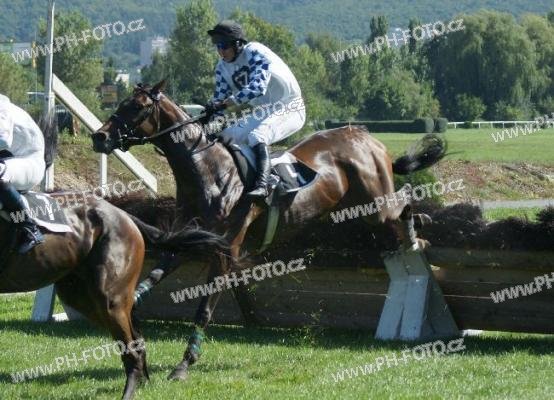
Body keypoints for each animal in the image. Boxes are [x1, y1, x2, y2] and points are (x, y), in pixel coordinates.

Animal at [0, 194, 229, 399]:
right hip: (83, 297)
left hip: (109, 299)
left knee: (131, 353)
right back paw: (144, 383)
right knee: (136, 339)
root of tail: (125, 215)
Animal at [91, 79, 447, 380]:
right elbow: (150, 278)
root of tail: (370, 139)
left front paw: (183, 365)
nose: (100, 137)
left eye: (136, 106)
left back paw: (416, 232)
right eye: (121, 103)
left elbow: (204, 310)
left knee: (403, 201)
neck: (208, 173)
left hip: (376, 204)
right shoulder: (189, 240)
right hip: (366, 207)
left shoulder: (224, 252)